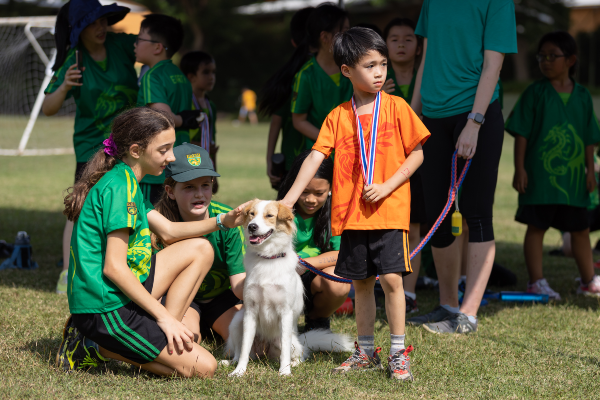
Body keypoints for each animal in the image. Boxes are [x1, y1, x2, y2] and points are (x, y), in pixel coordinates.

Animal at [227, 202, 354, 376]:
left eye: (269, 215)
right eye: (252, 214)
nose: (252, 226)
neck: (268, 259)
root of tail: (264, 352)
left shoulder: (285, 312)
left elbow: (285, 349)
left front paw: (285, 371)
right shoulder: (250, 312)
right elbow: (245, 347)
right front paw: (239, 371)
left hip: (290, 342)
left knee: (300, 354)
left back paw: (293, 364)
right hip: (236, 322)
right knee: (239, 350)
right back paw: (230, 362)